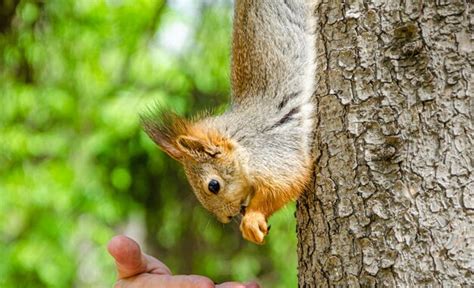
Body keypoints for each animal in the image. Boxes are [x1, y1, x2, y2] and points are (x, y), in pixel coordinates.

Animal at [143, 0, 316, 244]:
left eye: (213, 185)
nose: (228, 217)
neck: (240, 141)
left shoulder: (274, 150)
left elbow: (287, 181)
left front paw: (252, 218)